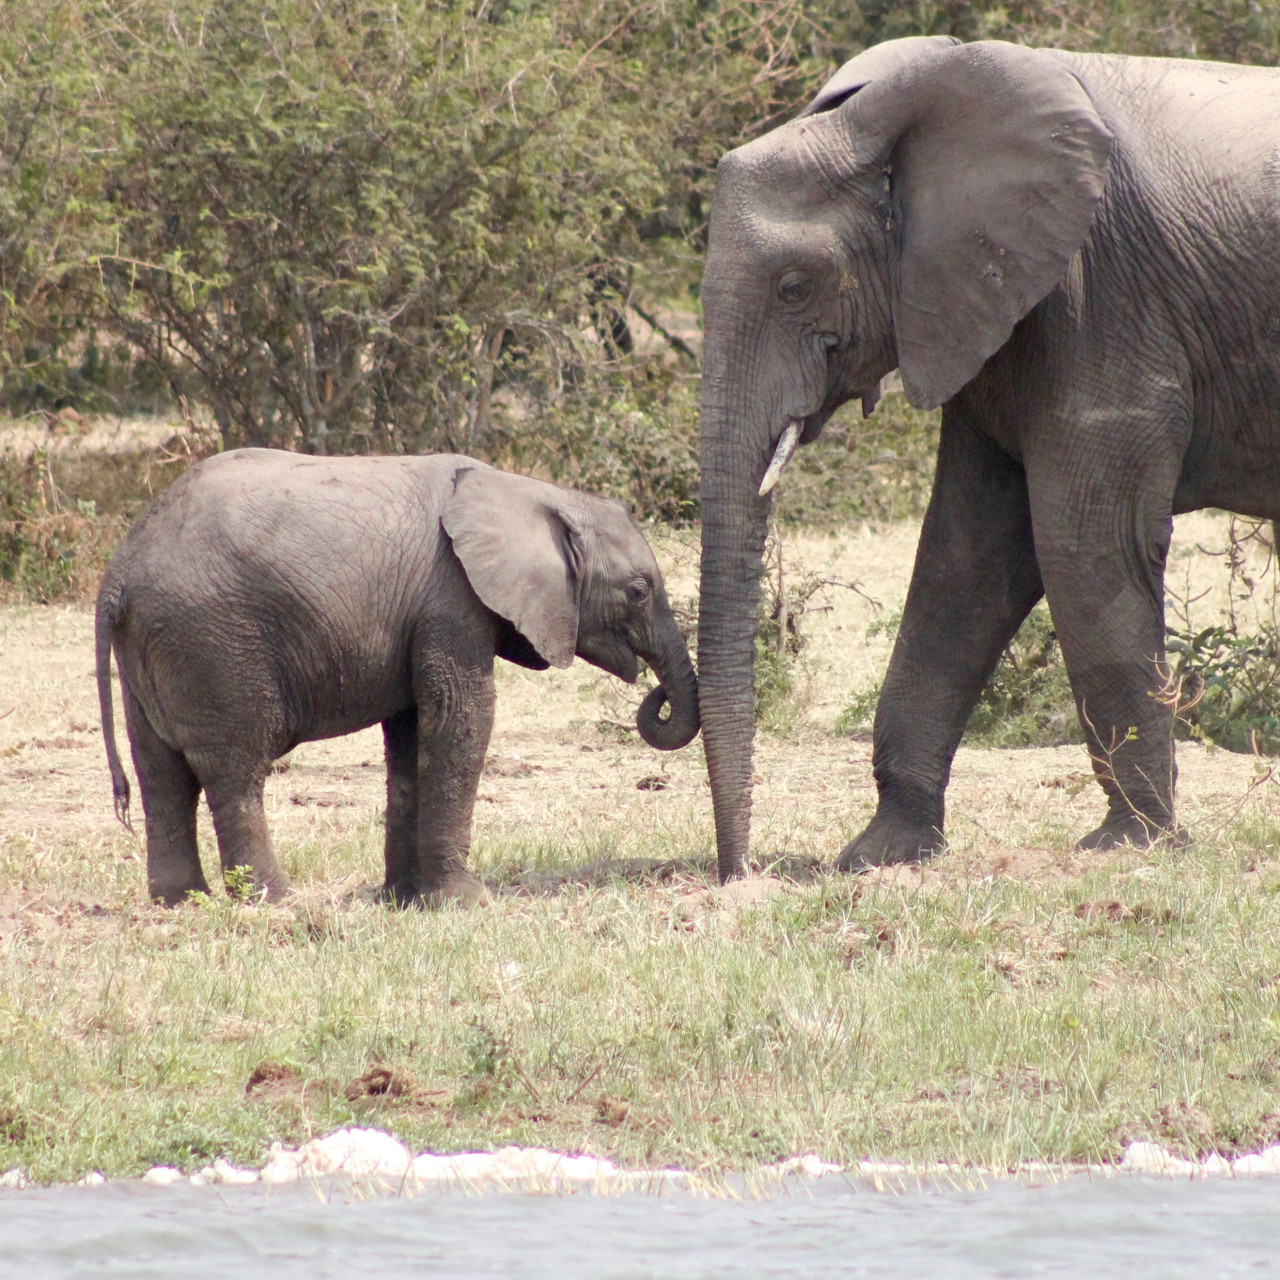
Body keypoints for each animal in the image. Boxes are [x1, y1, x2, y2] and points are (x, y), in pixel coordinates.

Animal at [97, 450, 701, 911]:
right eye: (639, 591)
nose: (656, 694)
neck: (528, 492)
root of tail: (118, 574)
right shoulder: (451, 599)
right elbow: (462, 716)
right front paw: (466, 903)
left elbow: (411, 736)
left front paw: (404, 901)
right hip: (214, 641)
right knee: (234, 770)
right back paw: (275, 902)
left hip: (156, 648)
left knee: (161, 774)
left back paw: (181, 902)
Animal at [696, 37, 1280, 880]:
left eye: (795, 287)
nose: (739, 873)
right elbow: (964, 562)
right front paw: (881, 855)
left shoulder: (1098, 295)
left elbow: (1083, 546)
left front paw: (1131, 846)